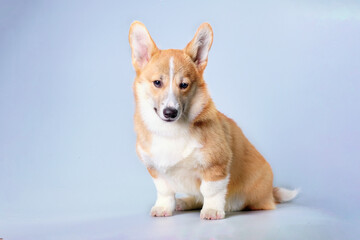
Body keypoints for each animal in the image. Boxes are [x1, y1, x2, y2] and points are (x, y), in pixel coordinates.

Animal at [128, 21, 296, 220]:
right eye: (157, 83)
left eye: (184, 85)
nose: (170, 112)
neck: (171, 131)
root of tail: (270, 192)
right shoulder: (156, 169)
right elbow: (164, 191)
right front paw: (163, 207)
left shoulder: (216, 165)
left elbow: (210, 191)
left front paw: (212, 211)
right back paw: (184, 202)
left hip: (253, 196)